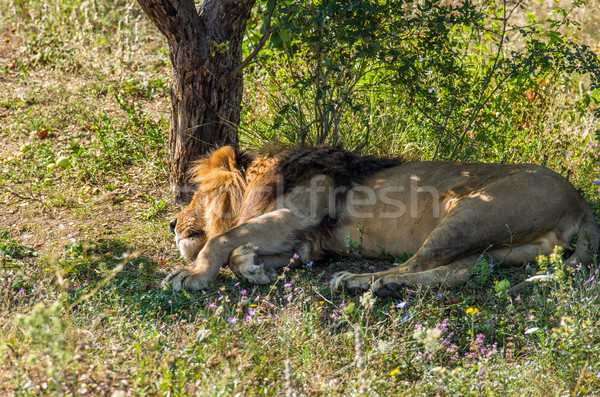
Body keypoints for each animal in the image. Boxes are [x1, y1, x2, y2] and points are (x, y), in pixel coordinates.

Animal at [165, 144, 600, 296]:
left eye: (196, 195)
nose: (171, 224)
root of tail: (582, 202)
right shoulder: (305, 243)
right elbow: (240, 250)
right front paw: (254, 268)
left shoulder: (296, 215)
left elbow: (220, 240)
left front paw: (191, 275)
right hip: (501, 247)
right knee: (456, 272)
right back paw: (389, 287)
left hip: (469, 212)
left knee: (417, 263)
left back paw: (359, 282)